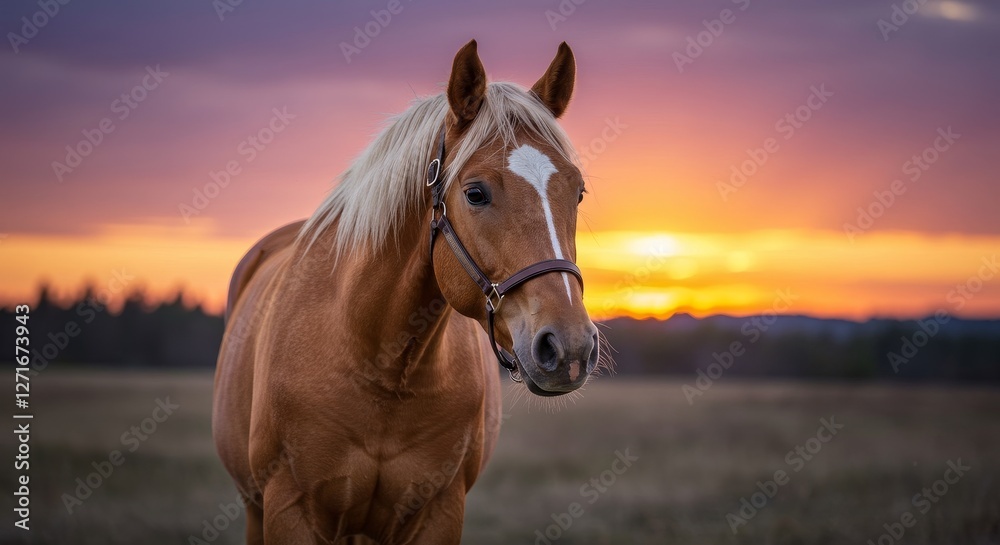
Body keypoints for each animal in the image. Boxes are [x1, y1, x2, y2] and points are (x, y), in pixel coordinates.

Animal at [213, 40, 601, 544]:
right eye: (475, 193)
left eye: (577, 192)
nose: (570, 347)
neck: (381, 366)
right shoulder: (288, 509)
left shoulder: (439, 511)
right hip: (254, 506)